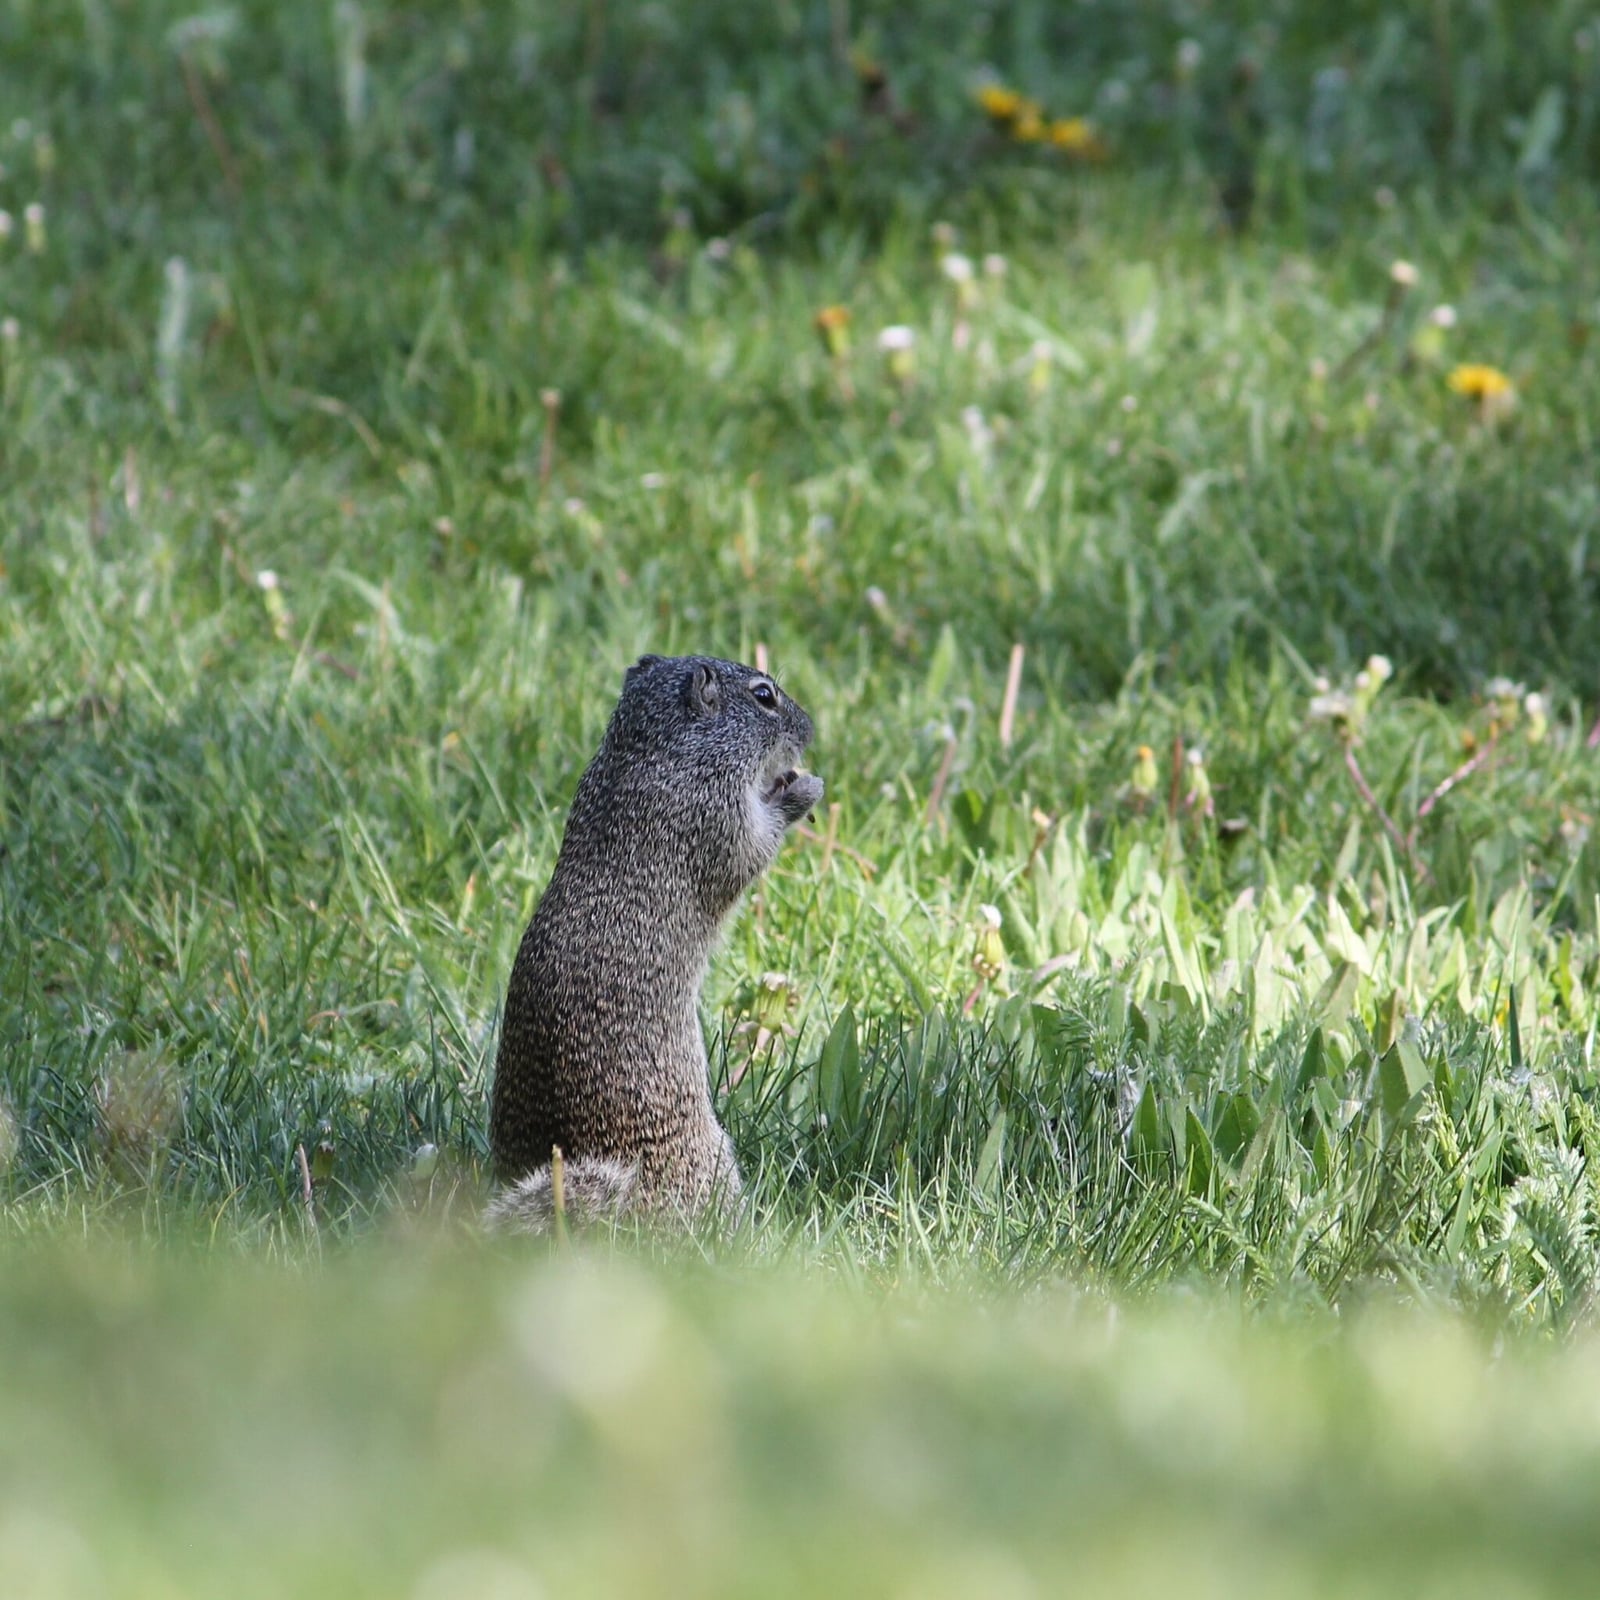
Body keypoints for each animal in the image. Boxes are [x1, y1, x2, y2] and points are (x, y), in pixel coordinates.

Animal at [485, 653, 823, 1231]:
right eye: (764, 696)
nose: (810, 728)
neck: (651, 748)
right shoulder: (714, 810)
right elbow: (753, 847)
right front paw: (800, 788)